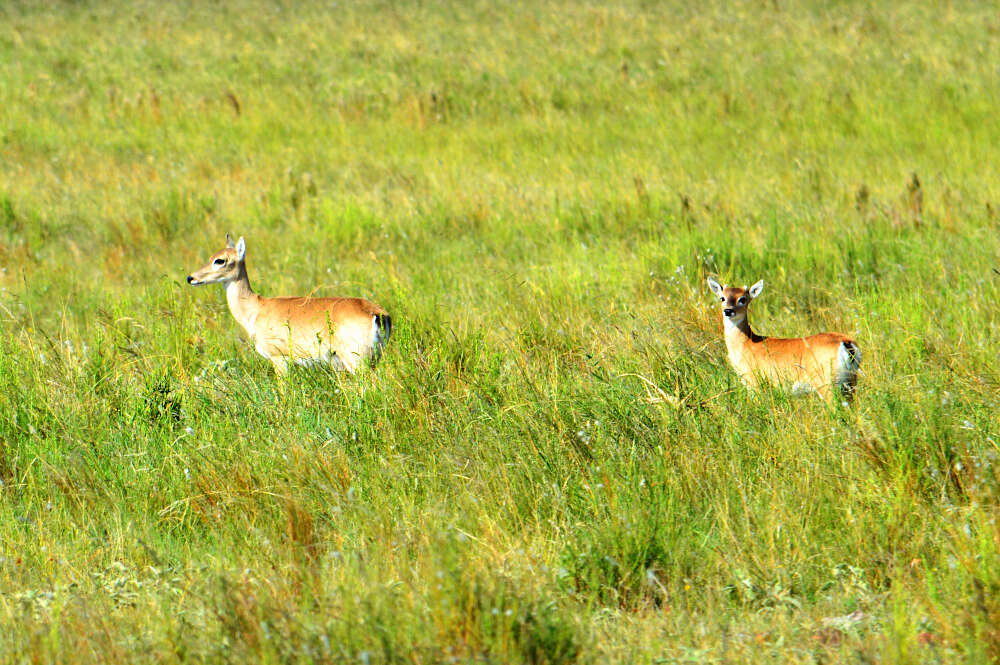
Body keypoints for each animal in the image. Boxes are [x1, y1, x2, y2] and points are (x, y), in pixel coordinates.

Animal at [188, 235, 390, 376]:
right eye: (211, 257)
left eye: (220, 260)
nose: (191, 278)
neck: (256, 309)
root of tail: (376, 313)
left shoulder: (278, 359)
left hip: (357, 361)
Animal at [704, 276, 860, 400]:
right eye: (722, 298)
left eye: (742, 299)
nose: (728, 310)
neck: (746, 344)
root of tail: (846, 343)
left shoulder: (753, 381)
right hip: (850, 382)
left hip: (827, 383)